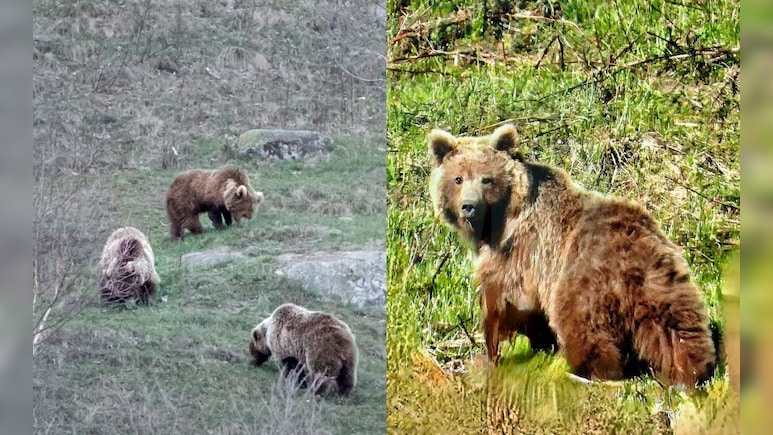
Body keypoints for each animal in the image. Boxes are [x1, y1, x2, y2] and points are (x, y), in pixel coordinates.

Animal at [428, 123, 716, 387]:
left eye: (486, 178)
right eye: (458, 179)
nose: (469, 206)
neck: (499, 219)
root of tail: (630, 254)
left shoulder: (520, 249)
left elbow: (506, 300)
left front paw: (493, 351)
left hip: (581, 281)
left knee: (583, 329)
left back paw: (582, 370)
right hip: (662, 280)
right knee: (678, 327)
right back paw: (689, 372)